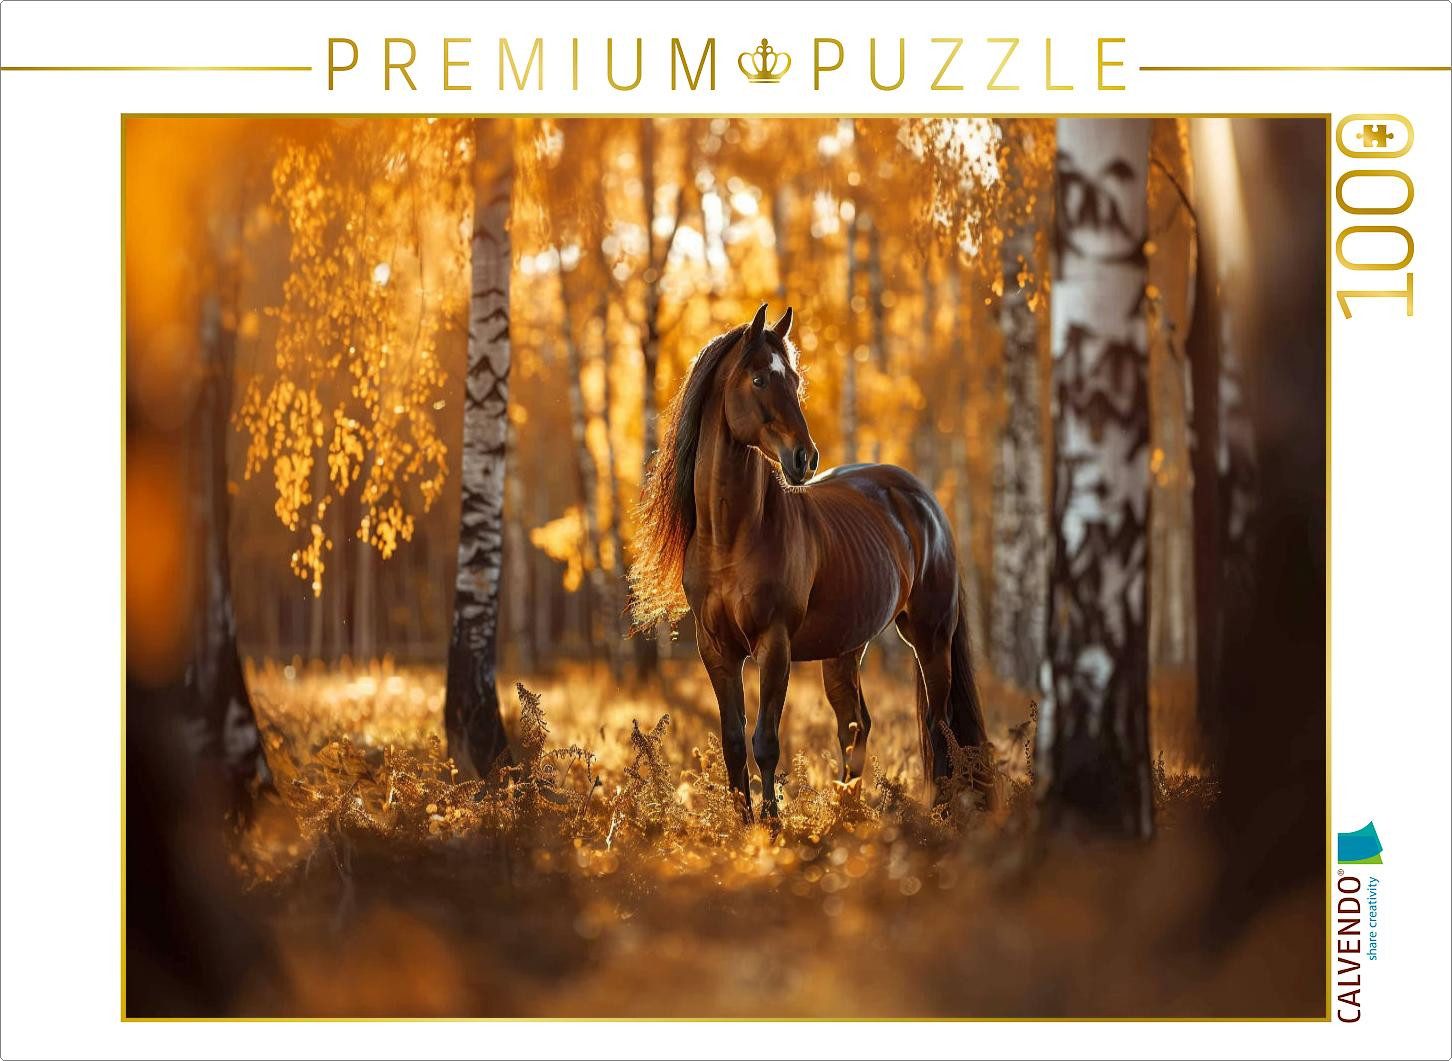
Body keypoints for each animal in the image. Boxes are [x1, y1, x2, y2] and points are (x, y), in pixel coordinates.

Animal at [630, 304, 991, 822]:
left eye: (795, 379)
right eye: (759, 379)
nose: (805, 458)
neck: (733, 535)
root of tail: (925, 502)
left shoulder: (774, 645)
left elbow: (766, 741)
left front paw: (771, 827)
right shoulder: (715, 650)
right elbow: (734, 742)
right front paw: (743, 827)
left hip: (929, 635)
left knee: (937, 724)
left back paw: (939, 812)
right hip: (844, 647)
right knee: (855, 725)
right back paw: (847, 815)